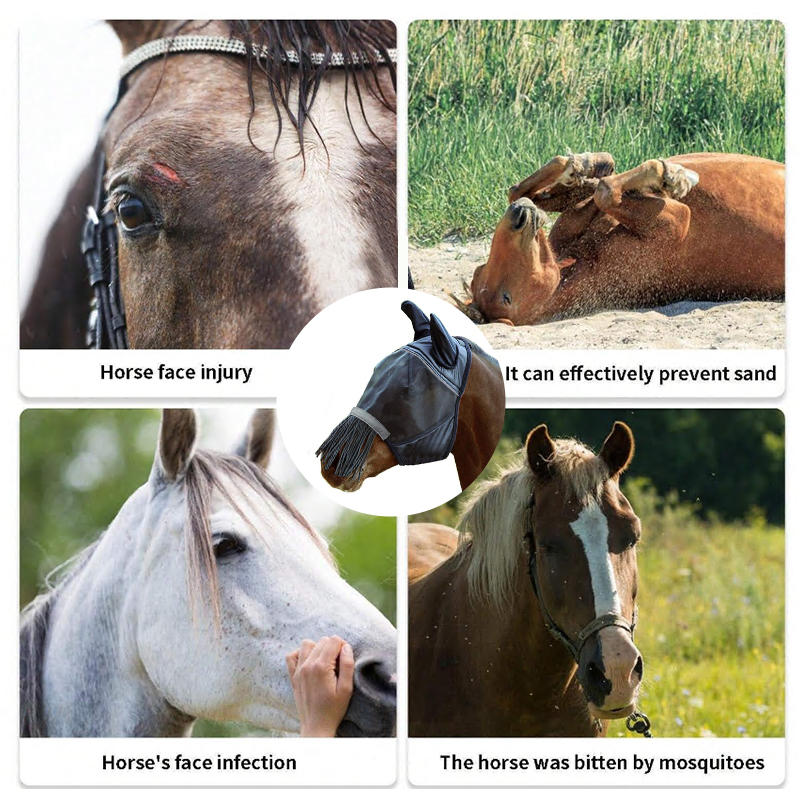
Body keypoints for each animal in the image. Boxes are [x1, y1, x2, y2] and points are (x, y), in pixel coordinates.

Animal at [457, 152, 784, 326]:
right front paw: (671, 176)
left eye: (478, 271)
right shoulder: (678, 220)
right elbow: (605, 191)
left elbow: (523, 189)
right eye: (506, 298)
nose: (519, 216)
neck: (582, 262)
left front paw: (582, 166)